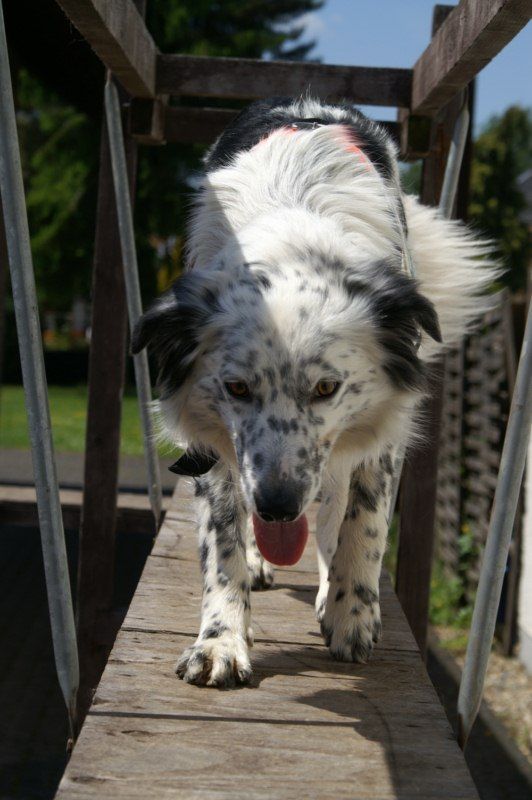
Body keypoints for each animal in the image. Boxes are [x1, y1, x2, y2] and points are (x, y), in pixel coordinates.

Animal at [132, 97, 496, 687]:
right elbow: (223, 537)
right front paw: (221, 638)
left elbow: (363, 519)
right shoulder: (212, 444)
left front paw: (351, 612)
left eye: (327, 387)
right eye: (236, 386)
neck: (293, 218)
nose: (279, 507)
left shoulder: (382, 429)